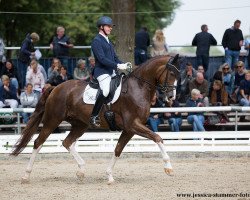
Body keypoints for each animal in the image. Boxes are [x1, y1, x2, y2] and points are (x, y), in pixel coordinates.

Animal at [11, 54, 180, 184]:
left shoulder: (129, 129)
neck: (137, 87)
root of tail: (55, 87)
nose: (171, 97)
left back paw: (81, 170)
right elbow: (157, 138)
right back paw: (26, 175)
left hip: (80, 125)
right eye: (172, 74)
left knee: (67, 142)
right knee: (38, 143)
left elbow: (118, 149)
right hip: (52, 120)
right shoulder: (133, 125)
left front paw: (109, 176)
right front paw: (169, 168)